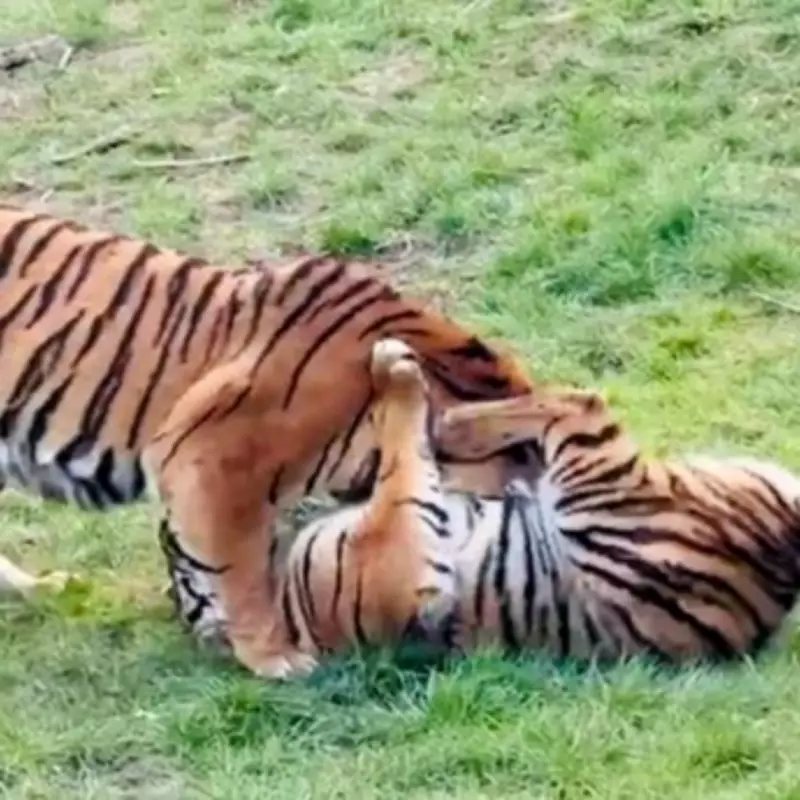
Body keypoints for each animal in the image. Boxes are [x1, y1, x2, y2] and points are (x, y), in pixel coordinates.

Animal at [166, 337, 800, 665]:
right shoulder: (397, 530)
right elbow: (400, 444)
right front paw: (396, 372)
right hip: (597, 482)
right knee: (579, 402)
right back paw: (459, 422)